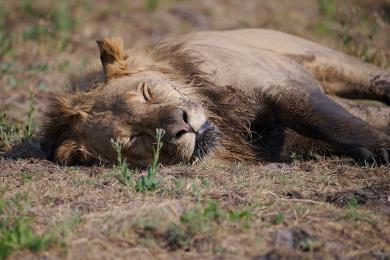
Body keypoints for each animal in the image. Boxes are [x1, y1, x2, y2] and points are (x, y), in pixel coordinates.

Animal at [41, 28, 390, 167]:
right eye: (131, 139)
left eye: (146, 92)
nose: (182, 125)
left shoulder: (280, 86)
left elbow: (328, 119)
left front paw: (382, 148)